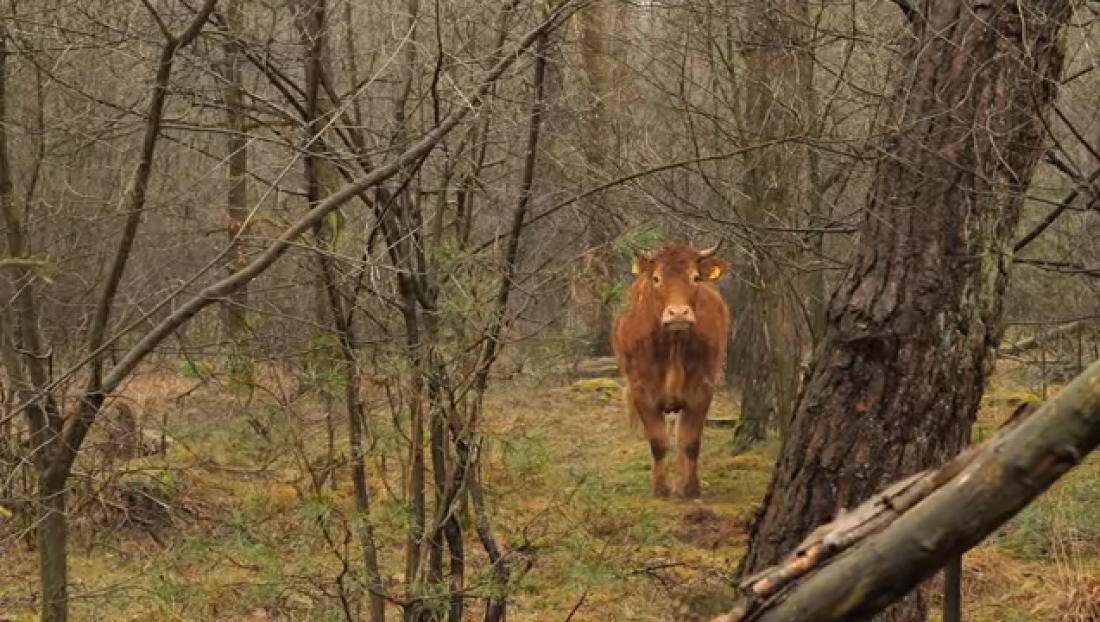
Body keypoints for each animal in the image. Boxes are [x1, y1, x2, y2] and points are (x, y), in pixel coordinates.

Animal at [611, 239, 730, 497]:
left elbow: (689, 442)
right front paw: (660, 489)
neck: (673, 349)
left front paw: (690, 488)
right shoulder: (641, 391)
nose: (678, 313)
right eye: (656, 278)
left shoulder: (703, 389)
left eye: (696, 277)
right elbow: (658, 442)